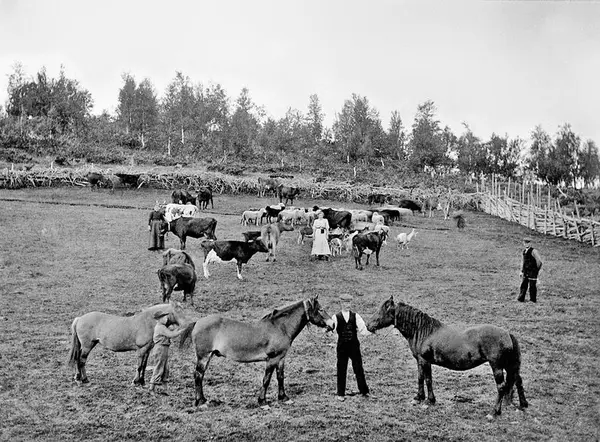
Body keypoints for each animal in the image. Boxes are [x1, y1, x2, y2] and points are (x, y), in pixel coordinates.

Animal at [180, 296, 336, 410]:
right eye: (321, 309)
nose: (332, 324)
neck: (280, 327)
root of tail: (197, 322)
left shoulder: (281, 358)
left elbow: (280, 377)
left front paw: (284, 398)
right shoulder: (272, 359)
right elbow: (266, 380)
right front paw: (263, 402)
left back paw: (203, 400)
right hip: (204, 356)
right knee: (198, 376)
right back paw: (201, 402)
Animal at [366, 296, 528, 418]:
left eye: (381, 311)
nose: (368, 325)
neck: (424, 331)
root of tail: (507, 333)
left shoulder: (425, 360)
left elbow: (428, 379)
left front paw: (429, 401)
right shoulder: (420, 361)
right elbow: (421, 378)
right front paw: (418, 398)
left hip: (497, 366)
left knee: (501, 386)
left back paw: (494, 412)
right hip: (509, 365)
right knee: (517, 380)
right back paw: (523, 404)